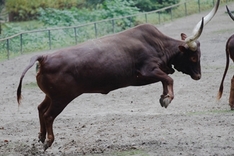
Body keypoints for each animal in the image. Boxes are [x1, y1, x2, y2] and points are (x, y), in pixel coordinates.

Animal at [17, 0, 220, 151]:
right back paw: (48, 141)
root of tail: (44, 57)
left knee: (40, 109)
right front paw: (167, 98)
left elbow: (166, 79)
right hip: (61, 98)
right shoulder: (147, 71)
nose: (198, 76)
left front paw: (164, 96)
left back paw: (41, 136)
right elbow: (169, 78)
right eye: (193, 56)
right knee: (49, 115)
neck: (158, 45)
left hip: (51, 95)